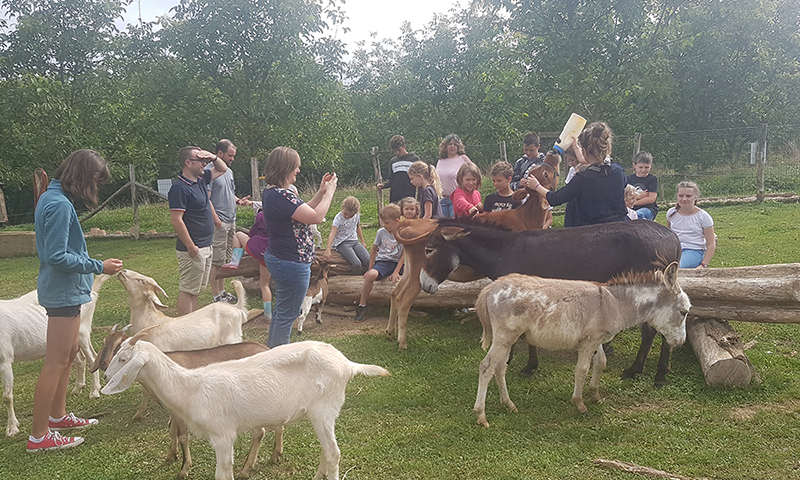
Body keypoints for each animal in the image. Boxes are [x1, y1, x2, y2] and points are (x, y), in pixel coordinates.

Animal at [0, 274, 110, 436]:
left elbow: (7, 397)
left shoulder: (5, 359)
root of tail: (92, 292)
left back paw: (94, 391)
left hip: (82, 331)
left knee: (91, 358)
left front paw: (12, 428)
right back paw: (78, 388)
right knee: (81, 359)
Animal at [103, 336, 390, 478]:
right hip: (318, 413)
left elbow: (223, 474)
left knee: (333, 453)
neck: (190, 387)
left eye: (124, 359)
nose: (105, 376)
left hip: (324, 408)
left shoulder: (222, 436)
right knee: (326, 450)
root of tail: (348, 364)